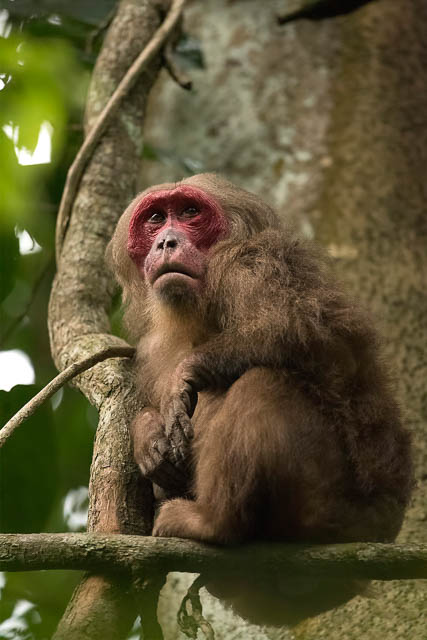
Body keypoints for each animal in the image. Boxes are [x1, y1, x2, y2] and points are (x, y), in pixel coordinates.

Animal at [107, 173, 412, 624]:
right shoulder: (152, 348)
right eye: (156, 219)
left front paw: (190, 372)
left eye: (190, 212)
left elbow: (307, 328)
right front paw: (148, 435)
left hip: (335, 514)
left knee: (262, 383)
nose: (166, 242)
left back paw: (214, 523)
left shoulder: (251, 263)